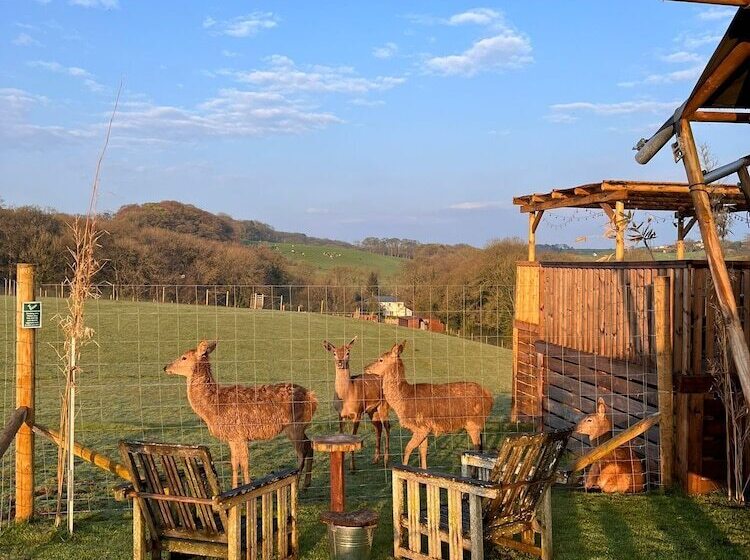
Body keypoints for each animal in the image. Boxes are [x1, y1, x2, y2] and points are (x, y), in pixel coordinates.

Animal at [164, 340, 317, 489]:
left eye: (184, 357)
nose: (165, 367)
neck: (214, 407)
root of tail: (312, 397)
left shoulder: (240, 434)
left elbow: (244, 463)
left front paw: (248, 487)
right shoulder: (232, 437)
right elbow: (234, 463)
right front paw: (234, 488)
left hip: (294, 425)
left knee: (301, 453)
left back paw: (298, 483)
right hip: (300, 426)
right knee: (309, 445)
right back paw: (306, 484)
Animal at [323, 337, 391, 471]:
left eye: (348, 352)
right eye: (334, 353)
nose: (340, 362)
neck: (346, 397)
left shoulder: (357, 413)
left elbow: (353, 437)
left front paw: (353, 467)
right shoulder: (340, 415)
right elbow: (342, 435)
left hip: (384, 406)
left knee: (387, 426)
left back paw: (386, 460)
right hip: (372, 410)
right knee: (378, 427)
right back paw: (376, 459)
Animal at [364, 341, 493, 469]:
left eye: (381, 359)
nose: (366, 367)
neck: (405, 400)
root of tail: (489, 396)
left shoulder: (422, 427)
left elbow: (408, 448)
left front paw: (404, 469)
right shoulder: (425, 428)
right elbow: (423, 451)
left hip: (474, 423)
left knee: (477, 450)